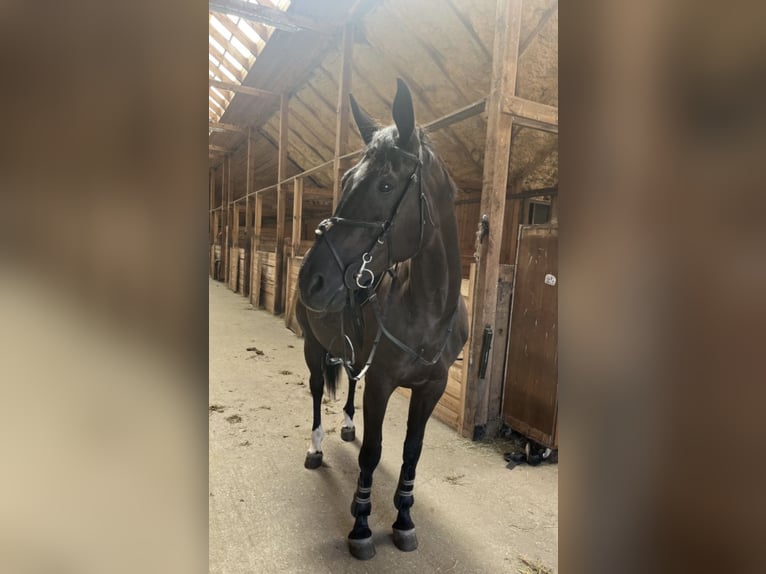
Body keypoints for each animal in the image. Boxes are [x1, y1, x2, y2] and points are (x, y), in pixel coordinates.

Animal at [296, 79, 468, 560]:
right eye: (346, 180)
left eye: (386, 184)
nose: (311, 281)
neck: (427, 309)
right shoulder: (382, 382)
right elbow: (372, 454)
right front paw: (360, 526)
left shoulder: (431, 386)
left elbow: (412, 451)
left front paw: (404, 520)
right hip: (312, 347)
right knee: (316, 392)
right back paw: (316, 447)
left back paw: (346, 425)